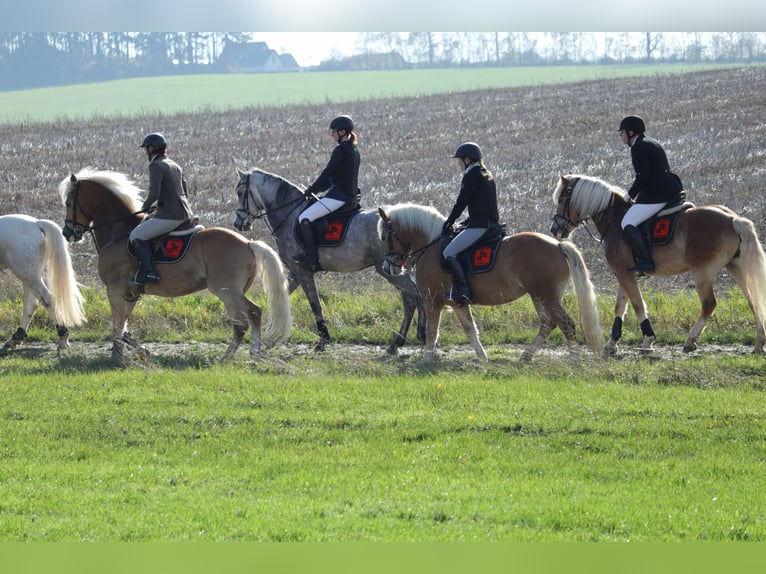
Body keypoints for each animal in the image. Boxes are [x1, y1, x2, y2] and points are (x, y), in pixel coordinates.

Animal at [0, 214, 86, 356]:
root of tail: (36, 223)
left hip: (29, 276)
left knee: (47, 300)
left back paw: (63, 337)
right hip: (30, 277)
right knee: (31, 305)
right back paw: (15, 338)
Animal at [60, 169, 292, 362]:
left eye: (69, 203)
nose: (67, 233)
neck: (118, 231)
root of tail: (248, 243)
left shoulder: (115, 290)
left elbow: (117, 324)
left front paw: (117, 355)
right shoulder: (130, 293)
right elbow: (124, 323)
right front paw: (138, 349)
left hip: (226, 290)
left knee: (252, 314)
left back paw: (252, 352)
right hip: (230, 293)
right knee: (240, 324)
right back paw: (227, 356)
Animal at [234, 169, 426, 354]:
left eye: (240, 192)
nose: (238, 224)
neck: (289, 214)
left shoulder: (302, 270)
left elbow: (315, 304)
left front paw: (323, 340)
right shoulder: (296, 273)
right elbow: (281, 297)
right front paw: (269, 332)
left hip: (389, 270)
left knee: (416, 297)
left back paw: (421, 334)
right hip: (395, 270)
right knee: (409, 301)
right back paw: (396, 344)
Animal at [378, 205, 608, 362]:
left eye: (385, 236)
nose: (388, 267)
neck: (431, 246)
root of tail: (558, 245)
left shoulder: (432, 299)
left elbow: (432, 330)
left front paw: (427, 359)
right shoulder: (458, 303)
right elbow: (470, 329)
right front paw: (482, 358)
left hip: (545, 295)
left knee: (565, 324)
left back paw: (573, 360)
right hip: (540, 296)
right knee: (548, 323)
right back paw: (526, 355)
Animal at [552, 174, 766, 356]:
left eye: (562, 200)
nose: (555, 229)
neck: (614, 218)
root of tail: (732, 218)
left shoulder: (624, 273)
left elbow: (637, 305)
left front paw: (648, 340)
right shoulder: (624, 273)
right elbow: (620, 306)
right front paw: (612, 343)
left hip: (702, 274)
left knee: (709, 304)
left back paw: (690, 340)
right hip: (736, 268)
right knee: (753, 300)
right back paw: (759, 344)